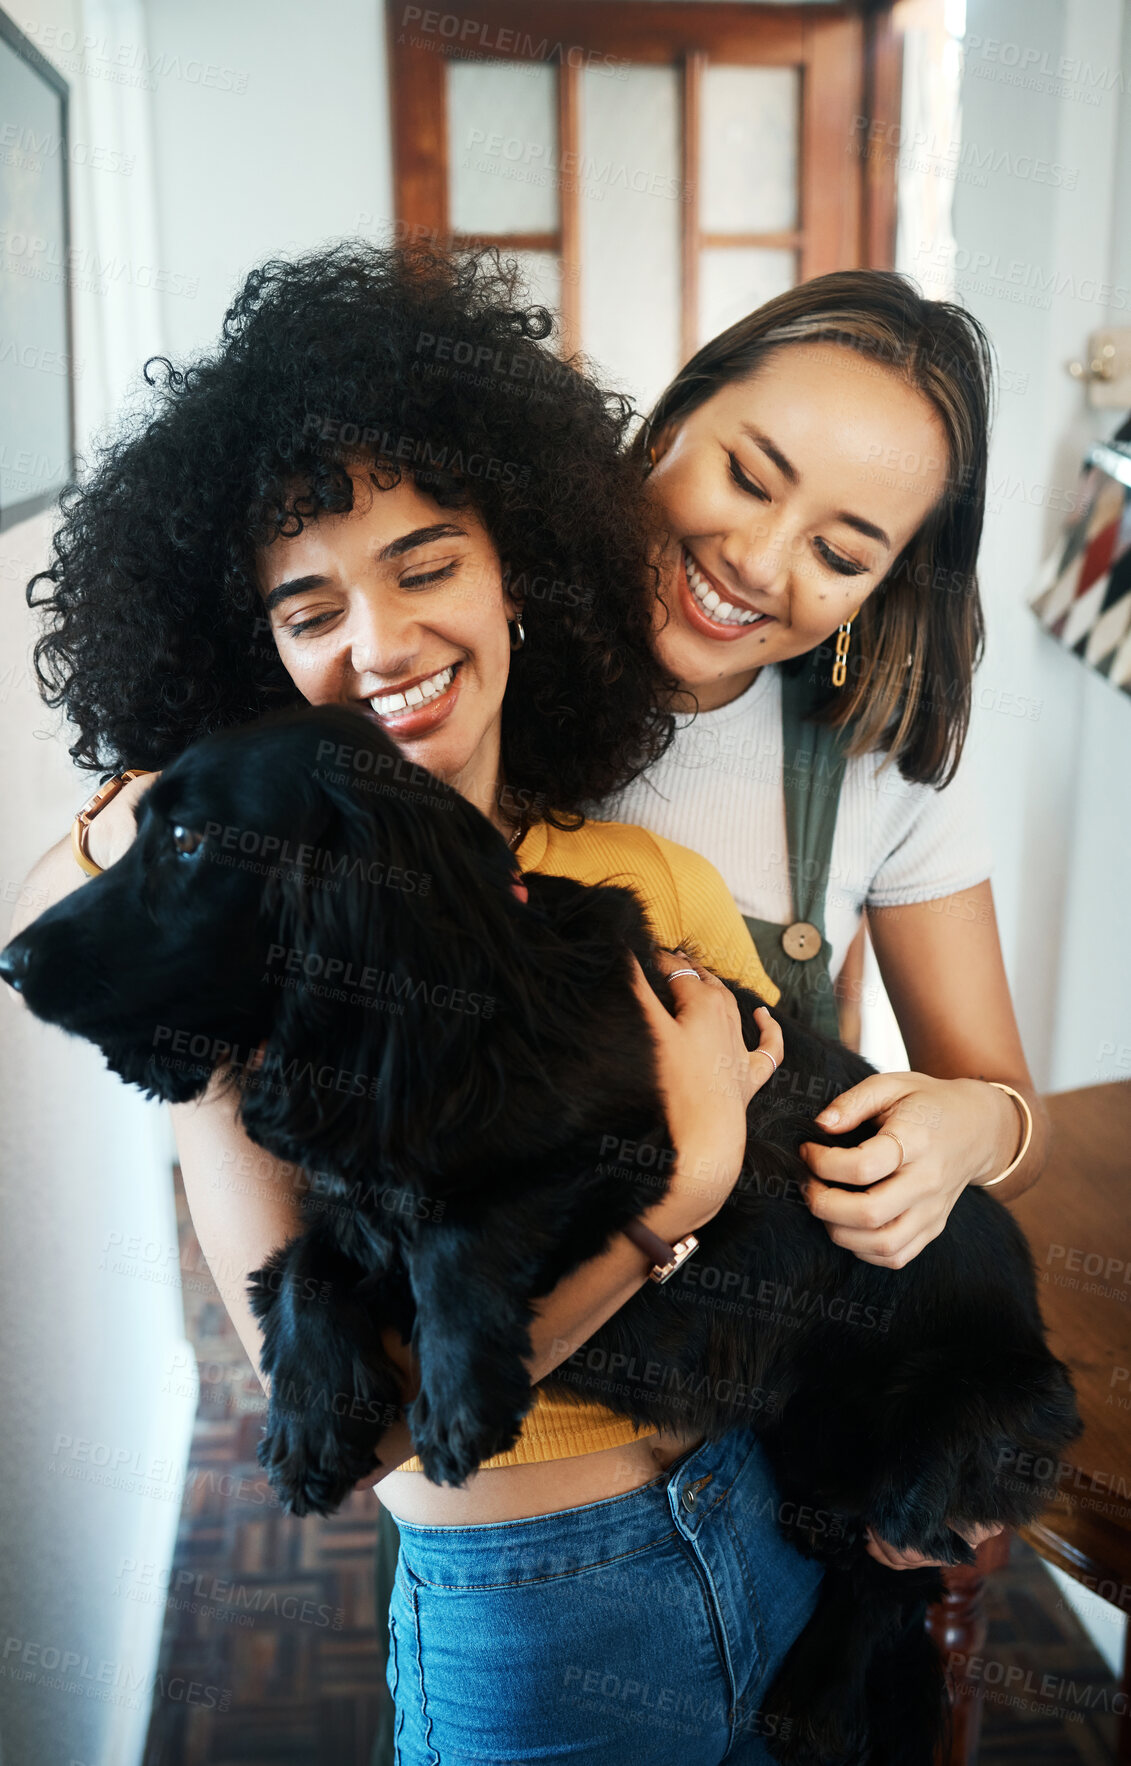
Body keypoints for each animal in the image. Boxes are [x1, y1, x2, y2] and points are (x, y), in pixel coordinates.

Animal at [2, 706, 1074, 1766]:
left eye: (187, 842)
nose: (11, 960)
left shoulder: (644, 1146)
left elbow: (461, 1231)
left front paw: (457, 1396)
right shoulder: (353, 1203)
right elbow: (308, 1263)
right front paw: (309, 1418)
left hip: (922, 1458)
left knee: (895, 1574)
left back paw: (814, 1703)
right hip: (813, 1455)